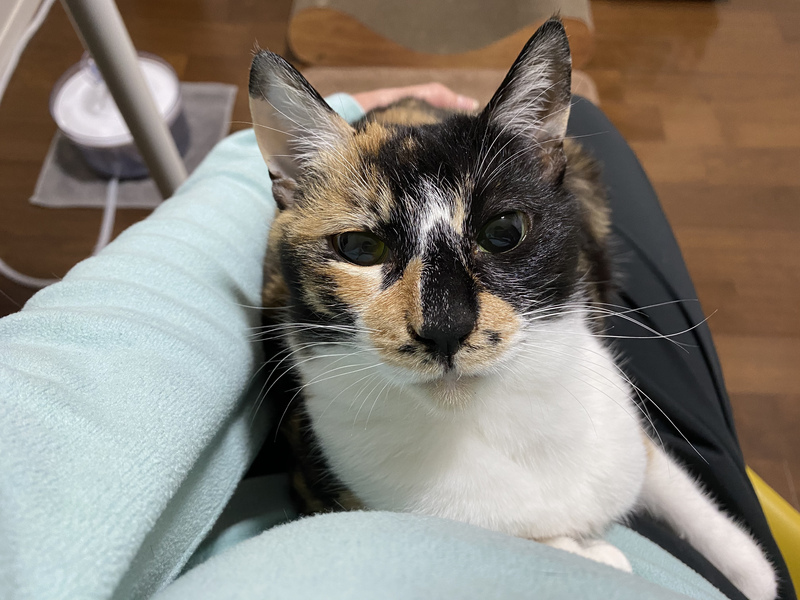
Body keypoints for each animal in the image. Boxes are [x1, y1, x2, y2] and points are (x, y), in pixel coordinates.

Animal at [247, 18, 777, 600]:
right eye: (361, 248)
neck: (493, 419)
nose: (445, 326)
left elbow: (665, 474)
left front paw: (753, 569)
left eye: (504, 232)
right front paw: (598, 555)